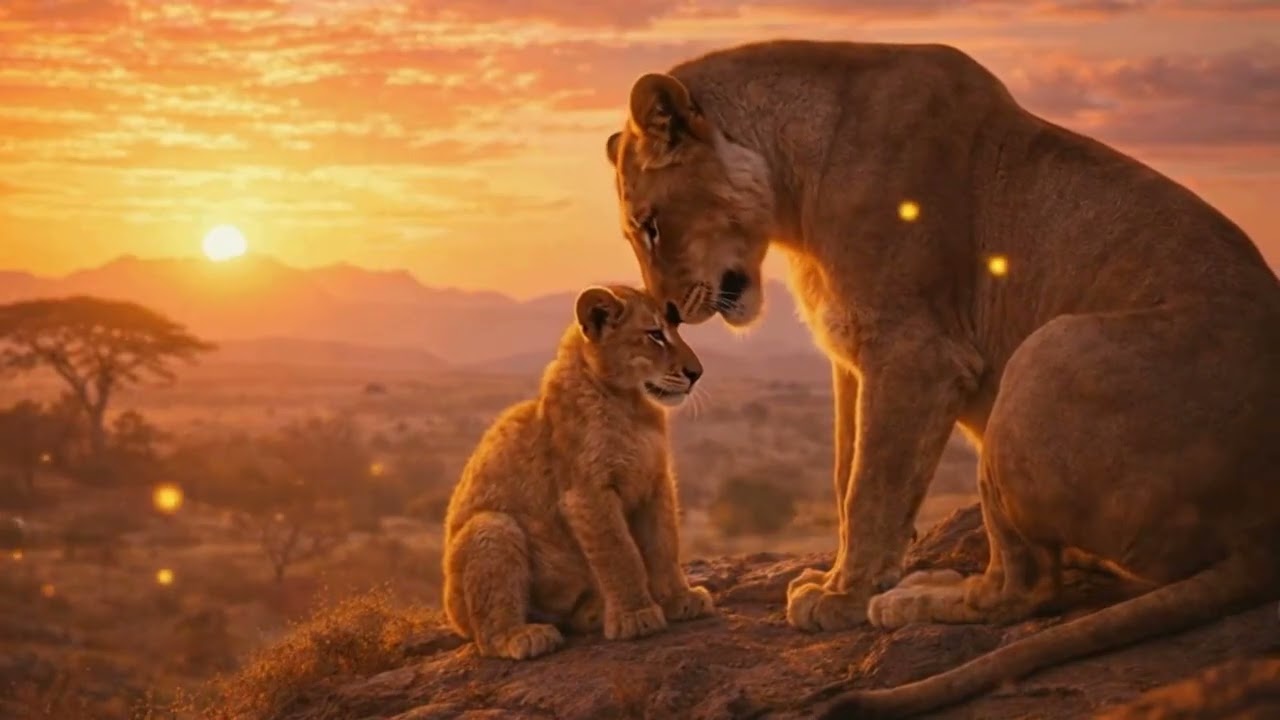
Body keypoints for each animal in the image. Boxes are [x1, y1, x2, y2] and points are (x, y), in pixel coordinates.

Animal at [442, 284, 716, 661]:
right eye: (655, 334)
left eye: (677, 330)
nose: (696, 373)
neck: (632, 405)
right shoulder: (587, 492)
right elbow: (620, 553)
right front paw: (636, 616)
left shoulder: (656, 482)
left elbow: (664, 544)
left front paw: (680, 599)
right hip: (492, 526)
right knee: (487, 636)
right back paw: (527, 636)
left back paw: (592, 613)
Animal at [603, 40, 1280, 716]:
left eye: (652, 225)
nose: (668, 312)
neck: (792, 187)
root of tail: (1261, 527)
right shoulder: (853, 357)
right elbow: (847, 474)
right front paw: (841, 578)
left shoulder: (916, 352)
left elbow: (871, 486)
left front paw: (844, 598)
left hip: (1040, 356)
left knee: (1024, 589)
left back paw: (916, 597)